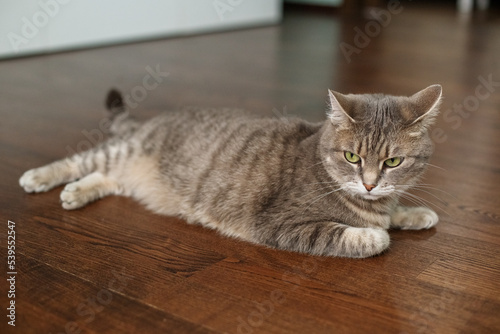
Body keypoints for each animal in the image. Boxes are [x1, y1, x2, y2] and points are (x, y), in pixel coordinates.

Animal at [19, 85, 442, 258]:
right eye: (352, 157)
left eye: (392, 162)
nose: (369, 184)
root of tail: (151, 121)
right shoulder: (280, 224)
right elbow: (364, 235)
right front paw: (377, 232)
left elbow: (394, 212)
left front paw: (413, 213)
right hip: (121, 152)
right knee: (81, 161)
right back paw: (39, 177)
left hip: (130, 175)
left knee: (106, 179)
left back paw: (76, 193)